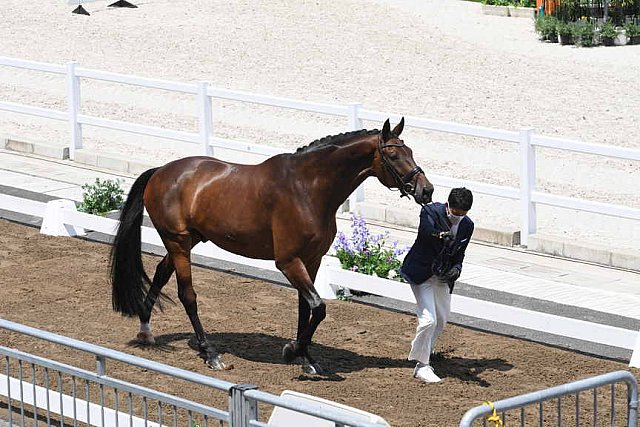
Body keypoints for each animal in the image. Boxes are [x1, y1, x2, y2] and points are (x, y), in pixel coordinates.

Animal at [112, 117, 436, 374]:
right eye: (393, 154)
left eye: (410, 151)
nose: (426, 190)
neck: (308, 188)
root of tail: (161, 171)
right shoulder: (288, 261)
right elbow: (318, 307)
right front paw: (293, 350)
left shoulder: (312, 259)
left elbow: (306, 308)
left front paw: (306, 358)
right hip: (178, 243)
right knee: (187, 295)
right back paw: (210, 354)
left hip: (186, 241)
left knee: (160, 273)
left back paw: (146, 330)